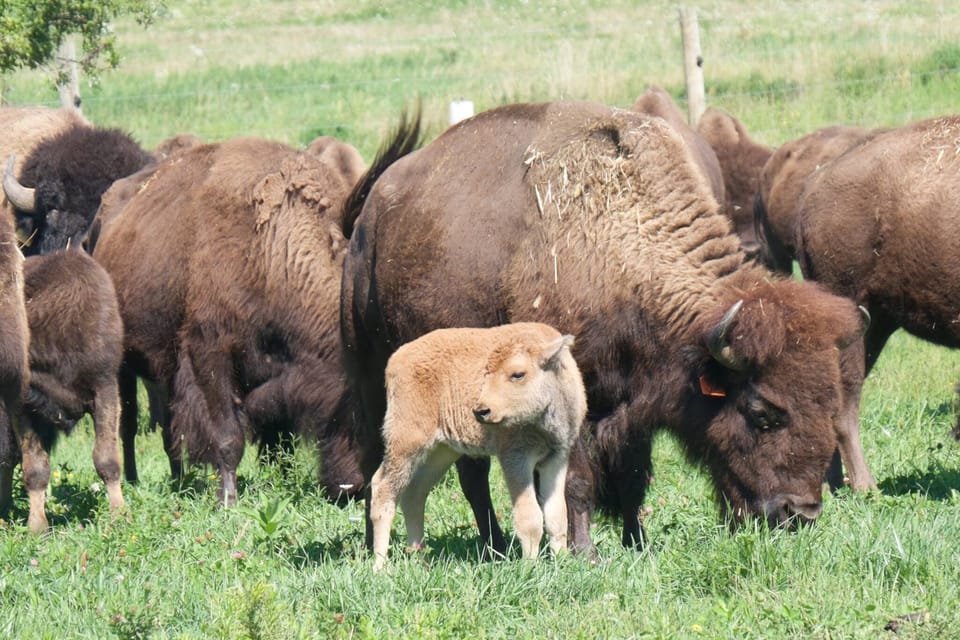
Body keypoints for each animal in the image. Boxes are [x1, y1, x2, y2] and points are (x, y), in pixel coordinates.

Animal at [341, 102, 868, 557]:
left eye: (830, 403)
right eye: (761, 413)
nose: (799, 513)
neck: (623, 244)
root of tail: (372, 215)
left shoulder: (637, 405)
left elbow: (631, 479)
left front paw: (637, 543)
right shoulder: (580, 407)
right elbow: (577, 481)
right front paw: (585, 552)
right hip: (378, 376)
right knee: (423, 472)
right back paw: (456, 545)